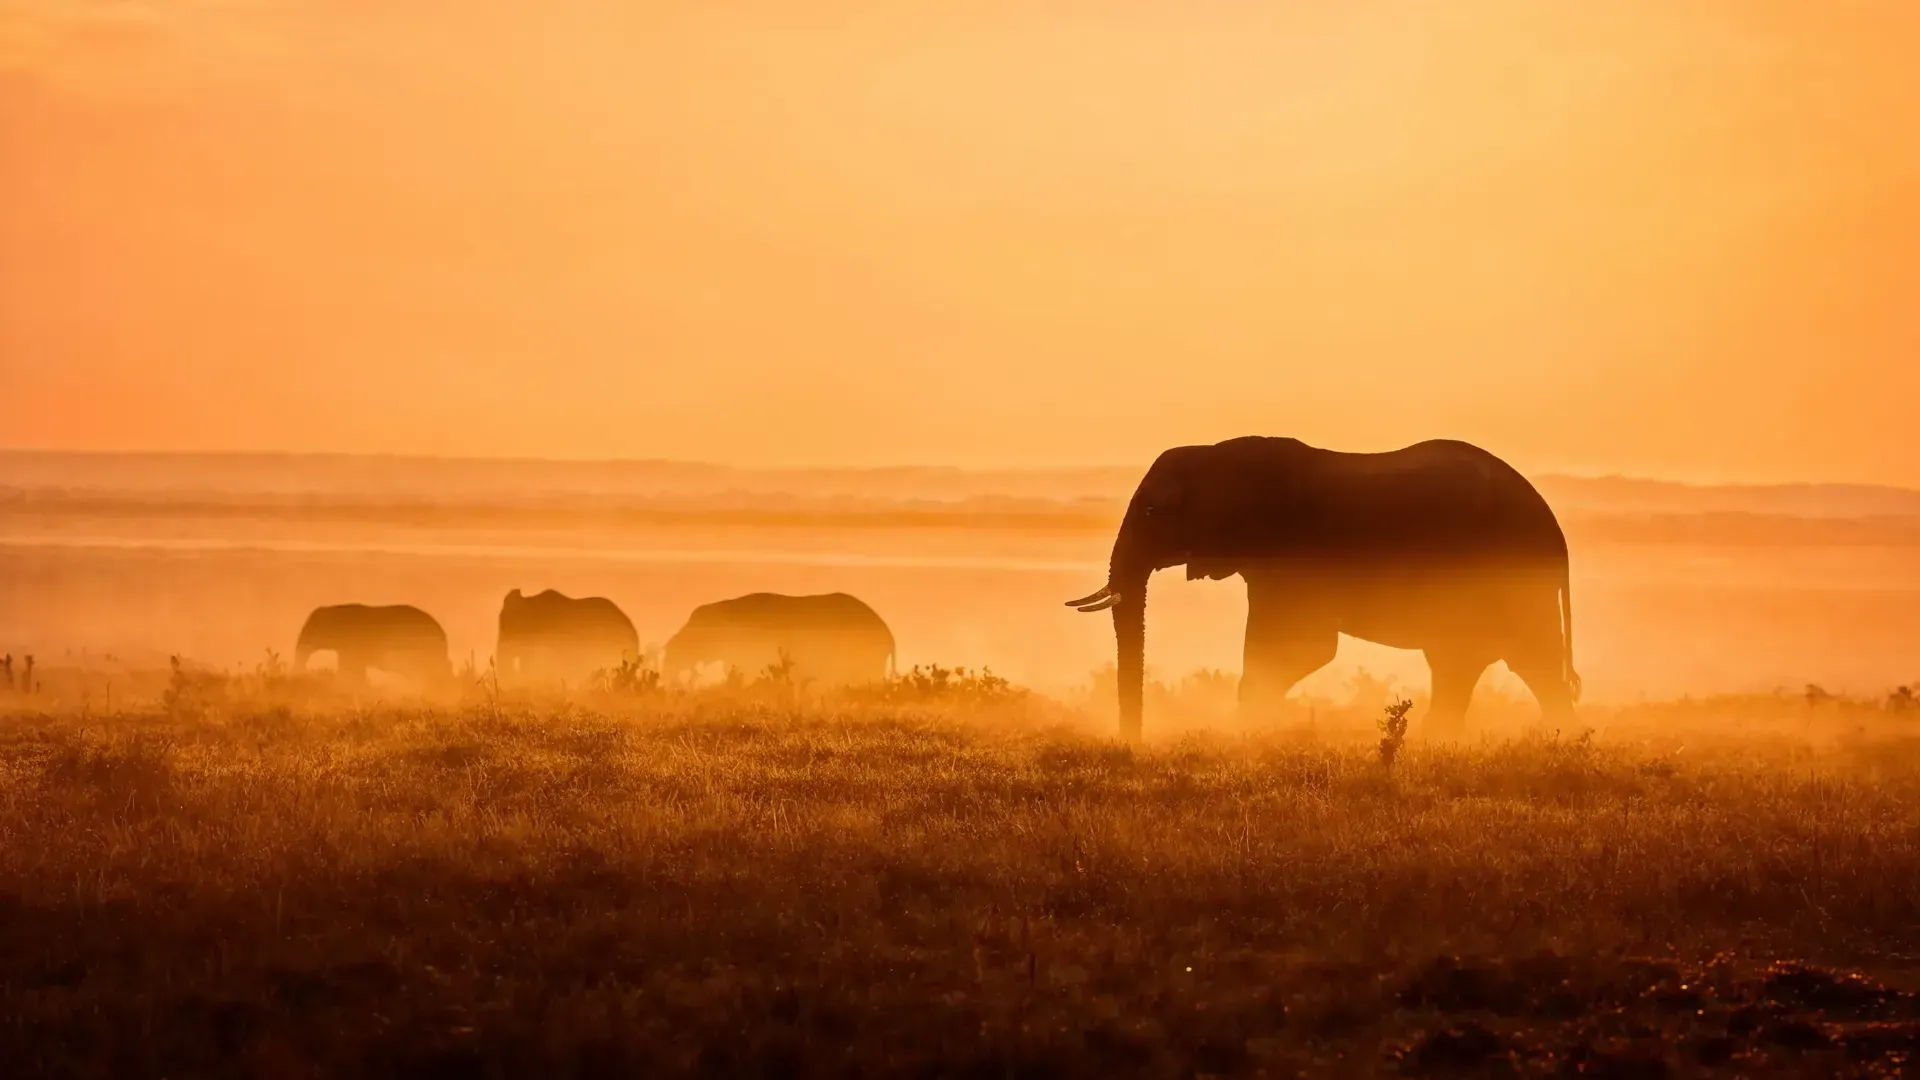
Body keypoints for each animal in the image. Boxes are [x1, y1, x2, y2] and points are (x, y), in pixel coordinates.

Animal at [1066, 437, 1579, 738]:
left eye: (1154, 512)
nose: (1133, 743)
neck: (1216, 452)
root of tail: (1556, 530)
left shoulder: (1291, 557)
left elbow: (1301, 649)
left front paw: (1244, 738)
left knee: (1526, 661)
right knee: (1469, 663)